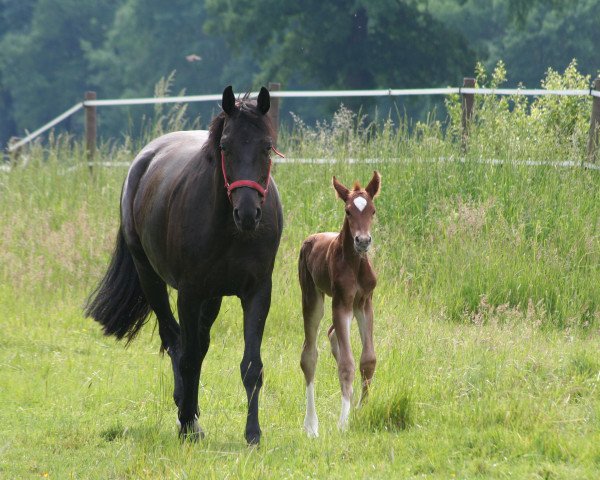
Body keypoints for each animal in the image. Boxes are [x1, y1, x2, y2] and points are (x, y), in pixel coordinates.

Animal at [85, 85, 284, 442]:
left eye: (266, 147)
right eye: (225, 146)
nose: (248, 214)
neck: (230, 230)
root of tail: (144, 158)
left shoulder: (257, 292)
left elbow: (251, 365)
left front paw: (253, 434)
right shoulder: (189, 293)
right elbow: (188, 358)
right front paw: (188, 422)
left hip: (213, 296)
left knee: (198, 345)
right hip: (151, 279)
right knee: (175, 341)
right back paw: (186, 413)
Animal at [298, 171, 380, 436]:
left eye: (372, 210)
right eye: (348, 211)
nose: (362, 241)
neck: (354, 264)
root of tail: (311, 238)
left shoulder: (364, 303)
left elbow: (368, 360)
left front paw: (361, 409)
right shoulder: (341, 303)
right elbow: (346, 363)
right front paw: (344, 422)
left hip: (351, 308)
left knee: (332, 334)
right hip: (312, 297)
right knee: (309, 356)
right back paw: (311, 425)